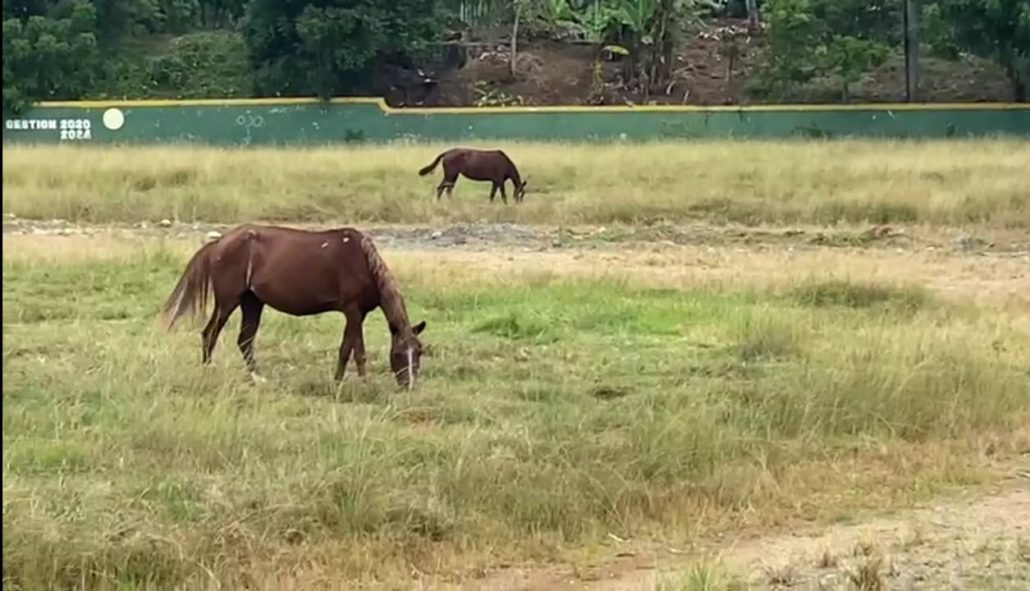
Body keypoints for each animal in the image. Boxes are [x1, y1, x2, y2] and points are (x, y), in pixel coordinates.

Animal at [160, 225, 426, 389]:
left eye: (419, 352)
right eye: (398, 354)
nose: (409, 386)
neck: (362, 261)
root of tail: (218, 243)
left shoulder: (355, 314)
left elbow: (345, 349)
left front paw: (337, 381)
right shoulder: (352, 310)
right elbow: (358, 351)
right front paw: (363, 384)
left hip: (252, 301)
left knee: (245, 340)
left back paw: (258, 378)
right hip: (228, 301)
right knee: (210, 333)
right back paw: (209, 371)